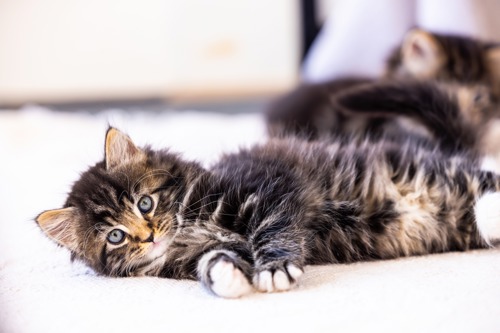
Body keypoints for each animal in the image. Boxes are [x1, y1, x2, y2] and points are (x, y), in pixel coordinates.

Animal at [37, 128, 500, 296]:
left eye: (144, 203)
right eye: (115, 236)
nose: (148, 235)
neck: (188, 224)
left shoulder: (269, 188)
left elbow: (272, 230)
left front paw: (275, 269)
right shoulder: (197, 253)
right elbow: (214, 260)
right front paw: (224, 276)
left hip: (420, 171)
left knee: (482, 181)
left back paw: (491, 205)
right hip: (451, 220)